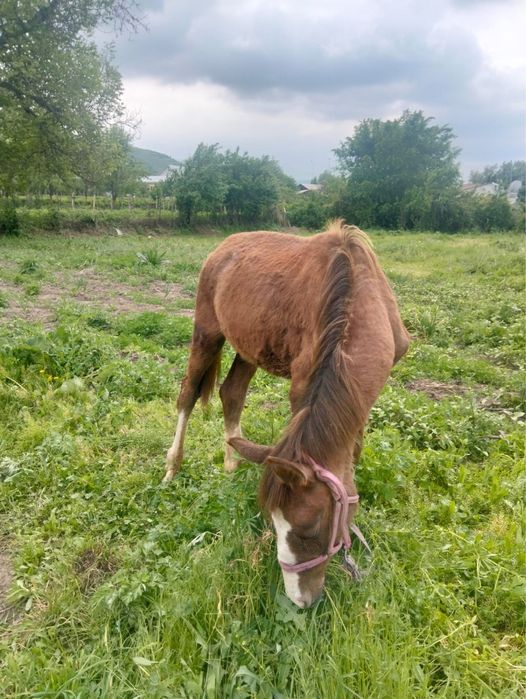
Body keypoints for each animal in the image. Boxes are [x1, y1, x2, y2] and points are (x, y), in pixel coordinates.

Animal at [164, 220, 410, 607]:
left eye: (311, 528)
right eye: (273, 522)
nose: (300, 599)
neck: (358, 302)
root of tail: (222, 248)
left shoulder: (362, 402)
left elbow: (352, 453)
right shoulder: (303, 390)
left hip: (248, 347)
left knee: (232, 393)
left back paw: (232, 460)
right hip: (207, 332)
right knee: (188, 395)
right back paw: (172, 467)